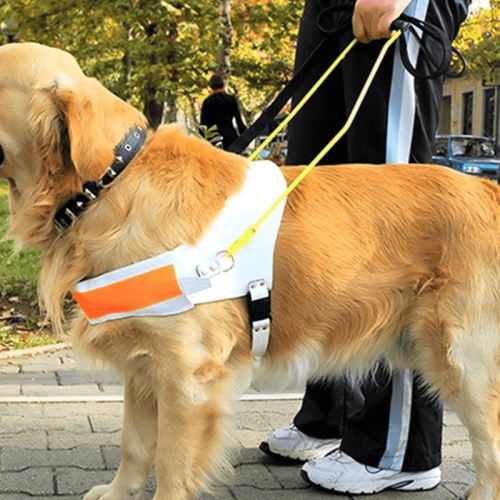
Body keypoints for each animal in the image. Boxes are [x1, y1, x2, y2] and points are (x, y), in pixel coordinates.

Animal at [0, 43, 500, 500]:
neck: (109, 185)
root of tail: (488, 189)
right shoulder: (143, 361)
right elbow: (135, 445)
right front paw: (119, 492)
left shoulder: (187, 375)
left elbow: (170, 463)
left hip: (464, 359)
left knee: (490, 448)